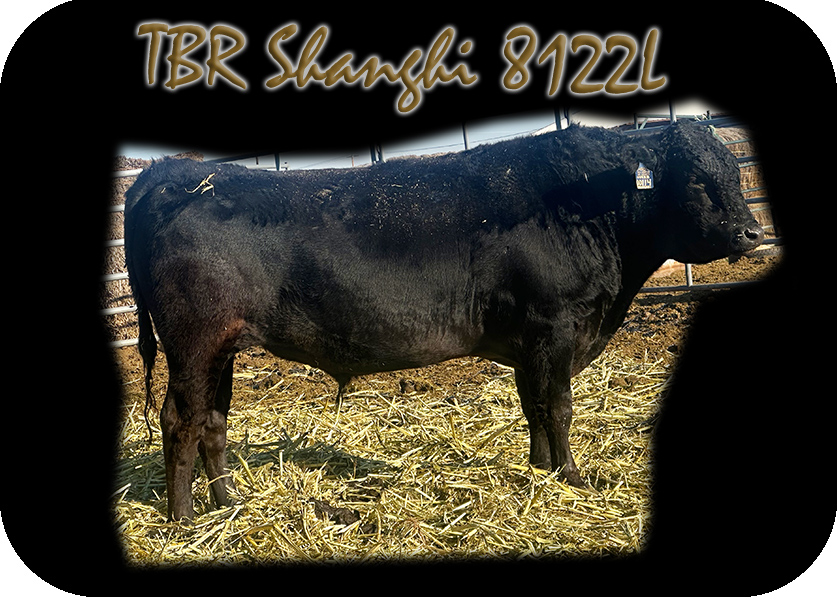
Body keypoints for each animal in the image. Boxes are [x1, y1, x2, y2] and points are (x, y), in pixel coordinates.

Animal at [124, 121, 764, 522]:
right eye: (697, 178)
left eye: (735, 173)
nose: (751, 232)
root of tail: (172, 173)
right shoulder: (555, 325)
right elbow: (558, 406)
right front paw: (574, 478)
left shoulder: (529, 341)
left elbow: (533, 406)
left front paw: (539, 470)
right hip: (193, 341)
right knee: (180, 420)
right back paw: (184, 517)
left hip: (222, 346)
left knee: (211, 421)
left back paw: (228, 503)